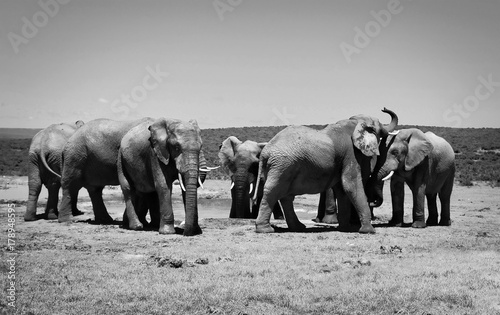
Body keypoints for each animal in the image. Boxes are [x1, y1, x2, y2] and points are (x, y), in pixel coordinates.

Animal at [256, 109, 396, 235]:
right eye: (379, 129)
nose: (384, 109)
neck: (354, 122)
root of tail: (265, 152)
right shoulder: (351, 154)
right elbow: (350, 185)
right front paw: (369, 231)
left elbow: (342, 190)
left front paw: (347, 229)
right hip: (282, 164)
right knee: (274, 191)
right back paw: (265, 230)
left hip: (281, 166)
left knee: (286, 196)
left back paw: (298, 228)